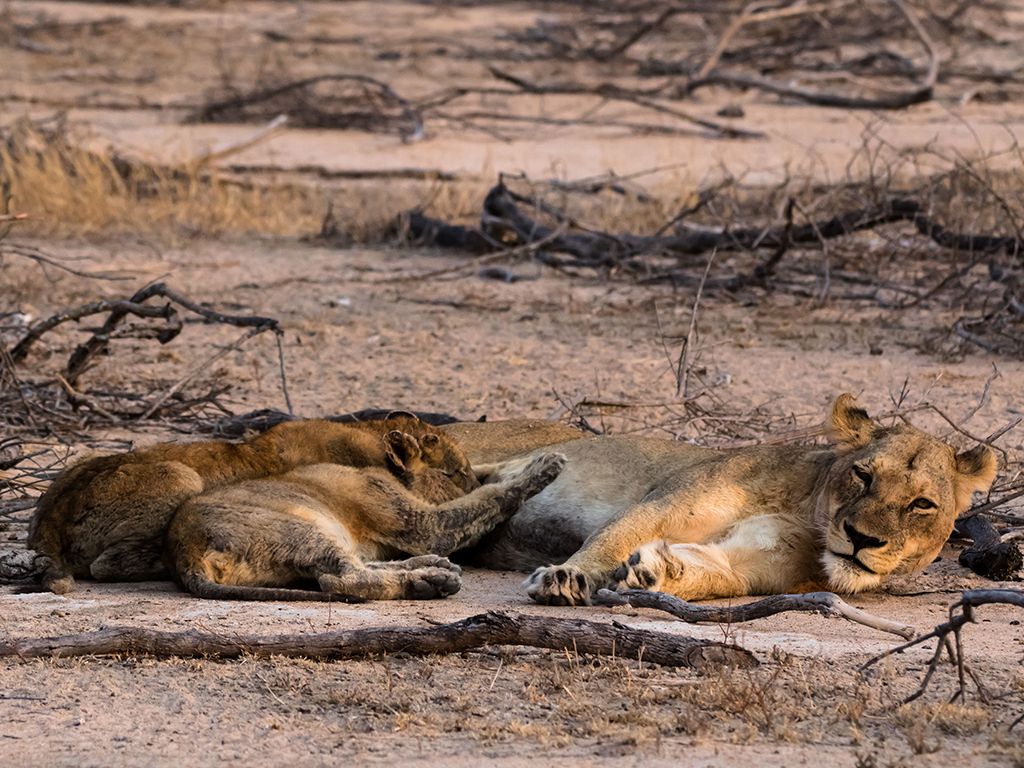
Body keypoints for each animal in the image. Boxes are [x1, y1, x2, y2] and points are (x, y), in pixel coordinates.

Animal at [165, 431, 567, 601]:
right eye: (453, 472)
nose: (464, 479)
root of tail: (185, 553)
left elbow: (488, 483)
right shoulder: (424, 524)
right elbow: (488, 496)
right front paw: (547, 464)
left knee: (351, 569)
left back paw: (431, 569)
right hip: (298, 528)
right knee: (343, 580)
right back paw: (432, 582)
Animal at [442, 394, 998, 605]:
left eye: (921, 504)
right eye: (863, 474)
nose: (862, 539)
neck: (806, 514)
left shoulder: (754, 564)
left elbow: (715, 571)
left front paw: (655, 572)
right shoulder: (662, 504)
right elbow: (610, 538)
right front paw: (565, 577)